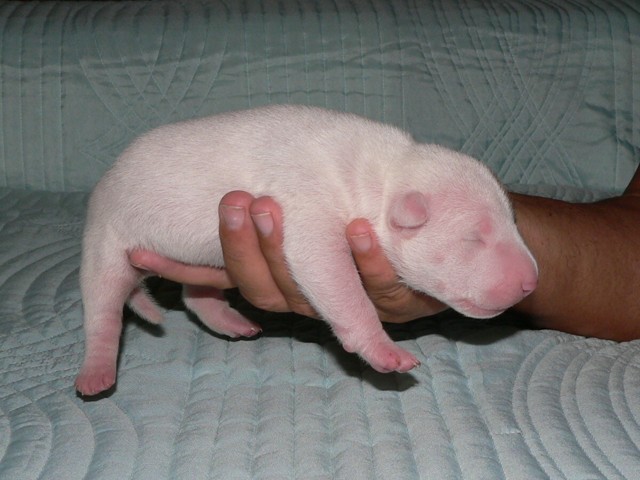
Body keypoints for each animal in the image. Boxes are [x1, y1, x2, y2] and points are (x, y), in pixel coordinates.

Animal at [75, 105, 538, 396]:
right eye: (474, 237)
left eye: (513, 222)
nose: (532, 282)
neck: (383, 174)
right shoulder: (306, 210)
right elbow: (333, 276)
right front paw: (385, 351)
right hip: (105, 239)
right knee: (103, 308)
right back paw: (96, 371)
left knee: (195, 296)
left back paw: (229, 320)